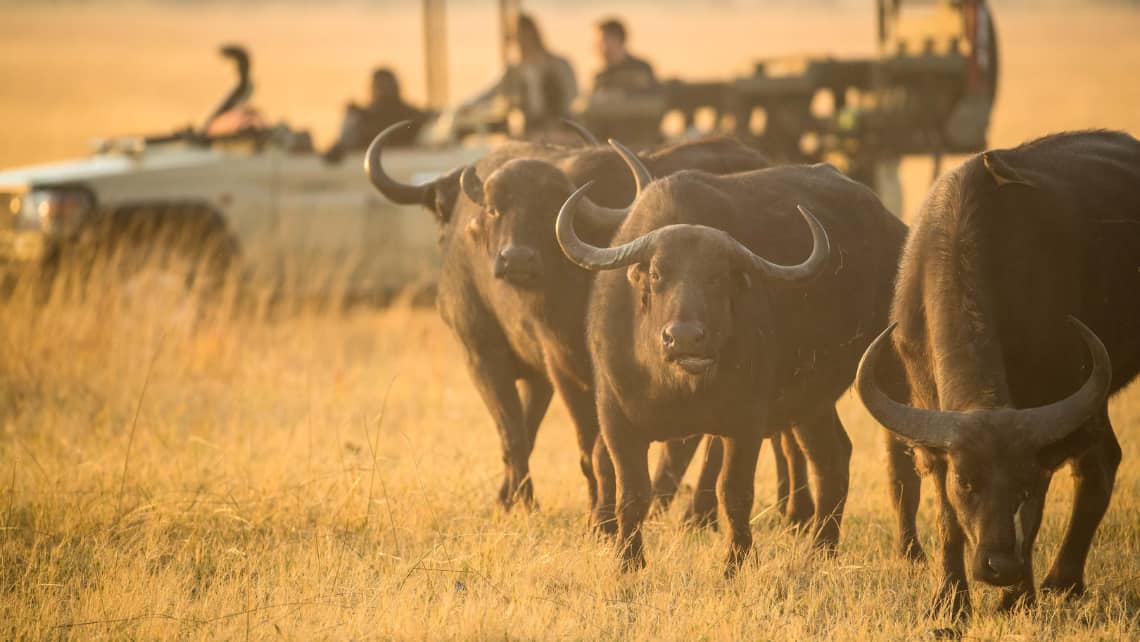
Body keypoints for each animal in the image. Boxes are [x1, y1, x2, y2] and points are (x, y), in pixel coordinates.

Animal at [364, 120, 775, 522]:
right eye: (495, 209)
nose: (517, 259)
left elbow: (570, 444)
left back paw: (688, 514)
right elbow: (522, 432)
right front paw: (513, 500)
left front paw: (566, 510)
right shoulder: (538, 365)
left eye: (549, 209)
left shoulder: (491, 356)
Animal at [560, 143, 907, 574]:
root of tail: (894, 228)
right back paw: (820, 550)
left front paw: (736, 561)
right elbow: (633, 491)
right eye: (657, 274)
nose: (685, 338)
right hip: (812, 400)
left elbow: (733, 490)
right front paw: (628, 560)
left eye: (717, 277)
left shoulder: (745, 421)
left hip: (889, 369)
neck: (674, 385)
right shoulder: (615, 419)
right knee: (832, 457)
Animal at [857, 128, 1135, 624]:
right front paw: (950, 601)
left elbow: (1035, 515)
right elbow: (946, 517)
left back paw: (1061, 580)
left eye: (1021, 484)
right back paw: (1064, 582)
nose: (999, 567)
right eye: (967, 482)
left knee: (1098, 463)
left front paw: (1018, 598)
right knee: (1100, 461)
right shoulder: (926, 406)